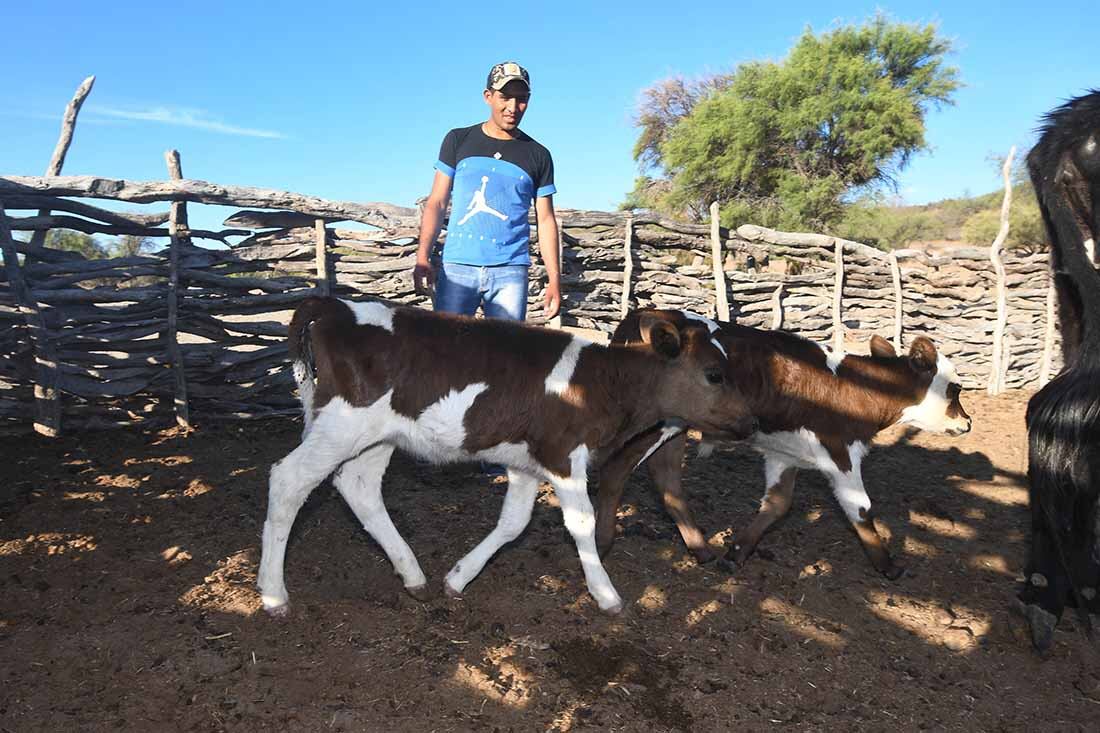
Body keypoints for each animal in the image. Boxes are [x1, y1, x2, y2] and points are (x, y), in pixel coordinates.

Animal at [257, 299, 756, 616]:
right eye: (714, 374)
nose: (751, 420)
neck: (602, 381)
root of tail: (332, 307)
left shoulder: (525, 461)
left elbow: (514, 523)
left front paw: (458, 578)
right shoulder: (563, 456)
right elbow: (581, 524)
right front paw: (606, 595)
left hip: (375, 436)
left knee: (358, 488)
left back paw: (413, 574)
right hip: (341, 424)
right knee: (288, 480)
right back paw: (274, 595)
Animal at [594, 308, 972, 576]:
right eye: (955, 388)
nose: (967, 423)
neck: (858, 387)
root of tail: (640, 316)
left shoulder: (785, 454)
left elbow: (777, 504)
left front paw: (736, 553)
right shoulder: (841, 452)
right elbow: (860, 507)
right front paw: (888, 566)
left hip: (675, 428)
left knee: (667, 480)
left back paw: (701, 549)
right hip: (653, 426)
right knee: (616, 470)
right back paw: (602, 542)